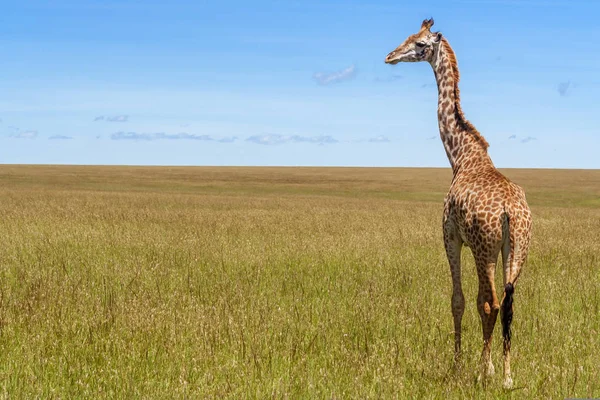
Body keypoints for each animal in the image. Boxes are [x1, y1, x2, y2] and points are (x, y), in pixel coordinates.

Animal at [382, 18, 532, 388]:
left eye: (420, 44)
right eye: (409, 37)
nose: (390, 56)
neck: (461, 157)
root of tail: (510, 214)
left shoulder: (450, 237)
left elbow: (458, 300)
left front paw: (458, 364)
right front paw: (488, 368)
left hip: (484, 249)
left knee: (490, 303)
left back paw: (484, 371)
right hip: (516, 250)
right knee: (508, 303)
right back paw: (507, 376)